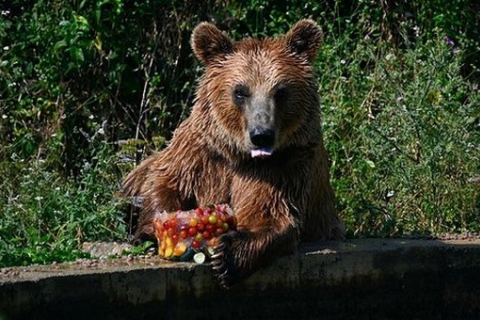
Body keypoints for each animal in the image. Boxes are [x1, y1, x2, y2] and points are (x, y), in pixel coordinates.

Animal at [122, 18, 344, 286]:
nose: (261, 134)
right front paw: (151, 231)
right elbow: (166, 181)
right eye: (240, 91)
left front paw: (227, 254)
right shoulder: (200, 153)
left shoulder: (284, 163)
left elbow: (270, 210)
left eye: (280, 91)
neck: (237, 153)